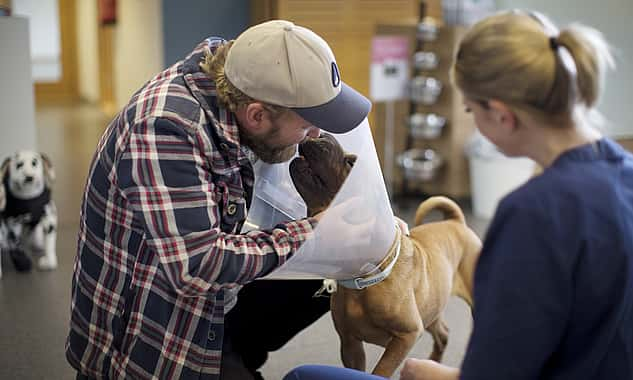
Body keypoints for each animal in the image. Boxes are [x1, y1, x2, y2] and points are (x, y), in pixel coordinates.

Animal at [0, 150, 57, 278]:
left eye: (34, 163)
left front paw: (50, 261)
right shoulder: (13, 222)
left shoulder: (49, 219)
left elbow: (50, 243)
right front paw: (21, 261)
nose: (29, 177)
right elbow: (15, 243)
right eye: (19, 165)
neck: (29, 197)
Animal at [290, 134, 478, 378]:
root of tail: (456, 222)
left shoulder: (407, 335)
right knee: (443, 334)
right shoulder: (350, 343)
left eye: (351, 163)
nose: (322, 134)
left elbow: (380, 370)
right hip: (433, 306)